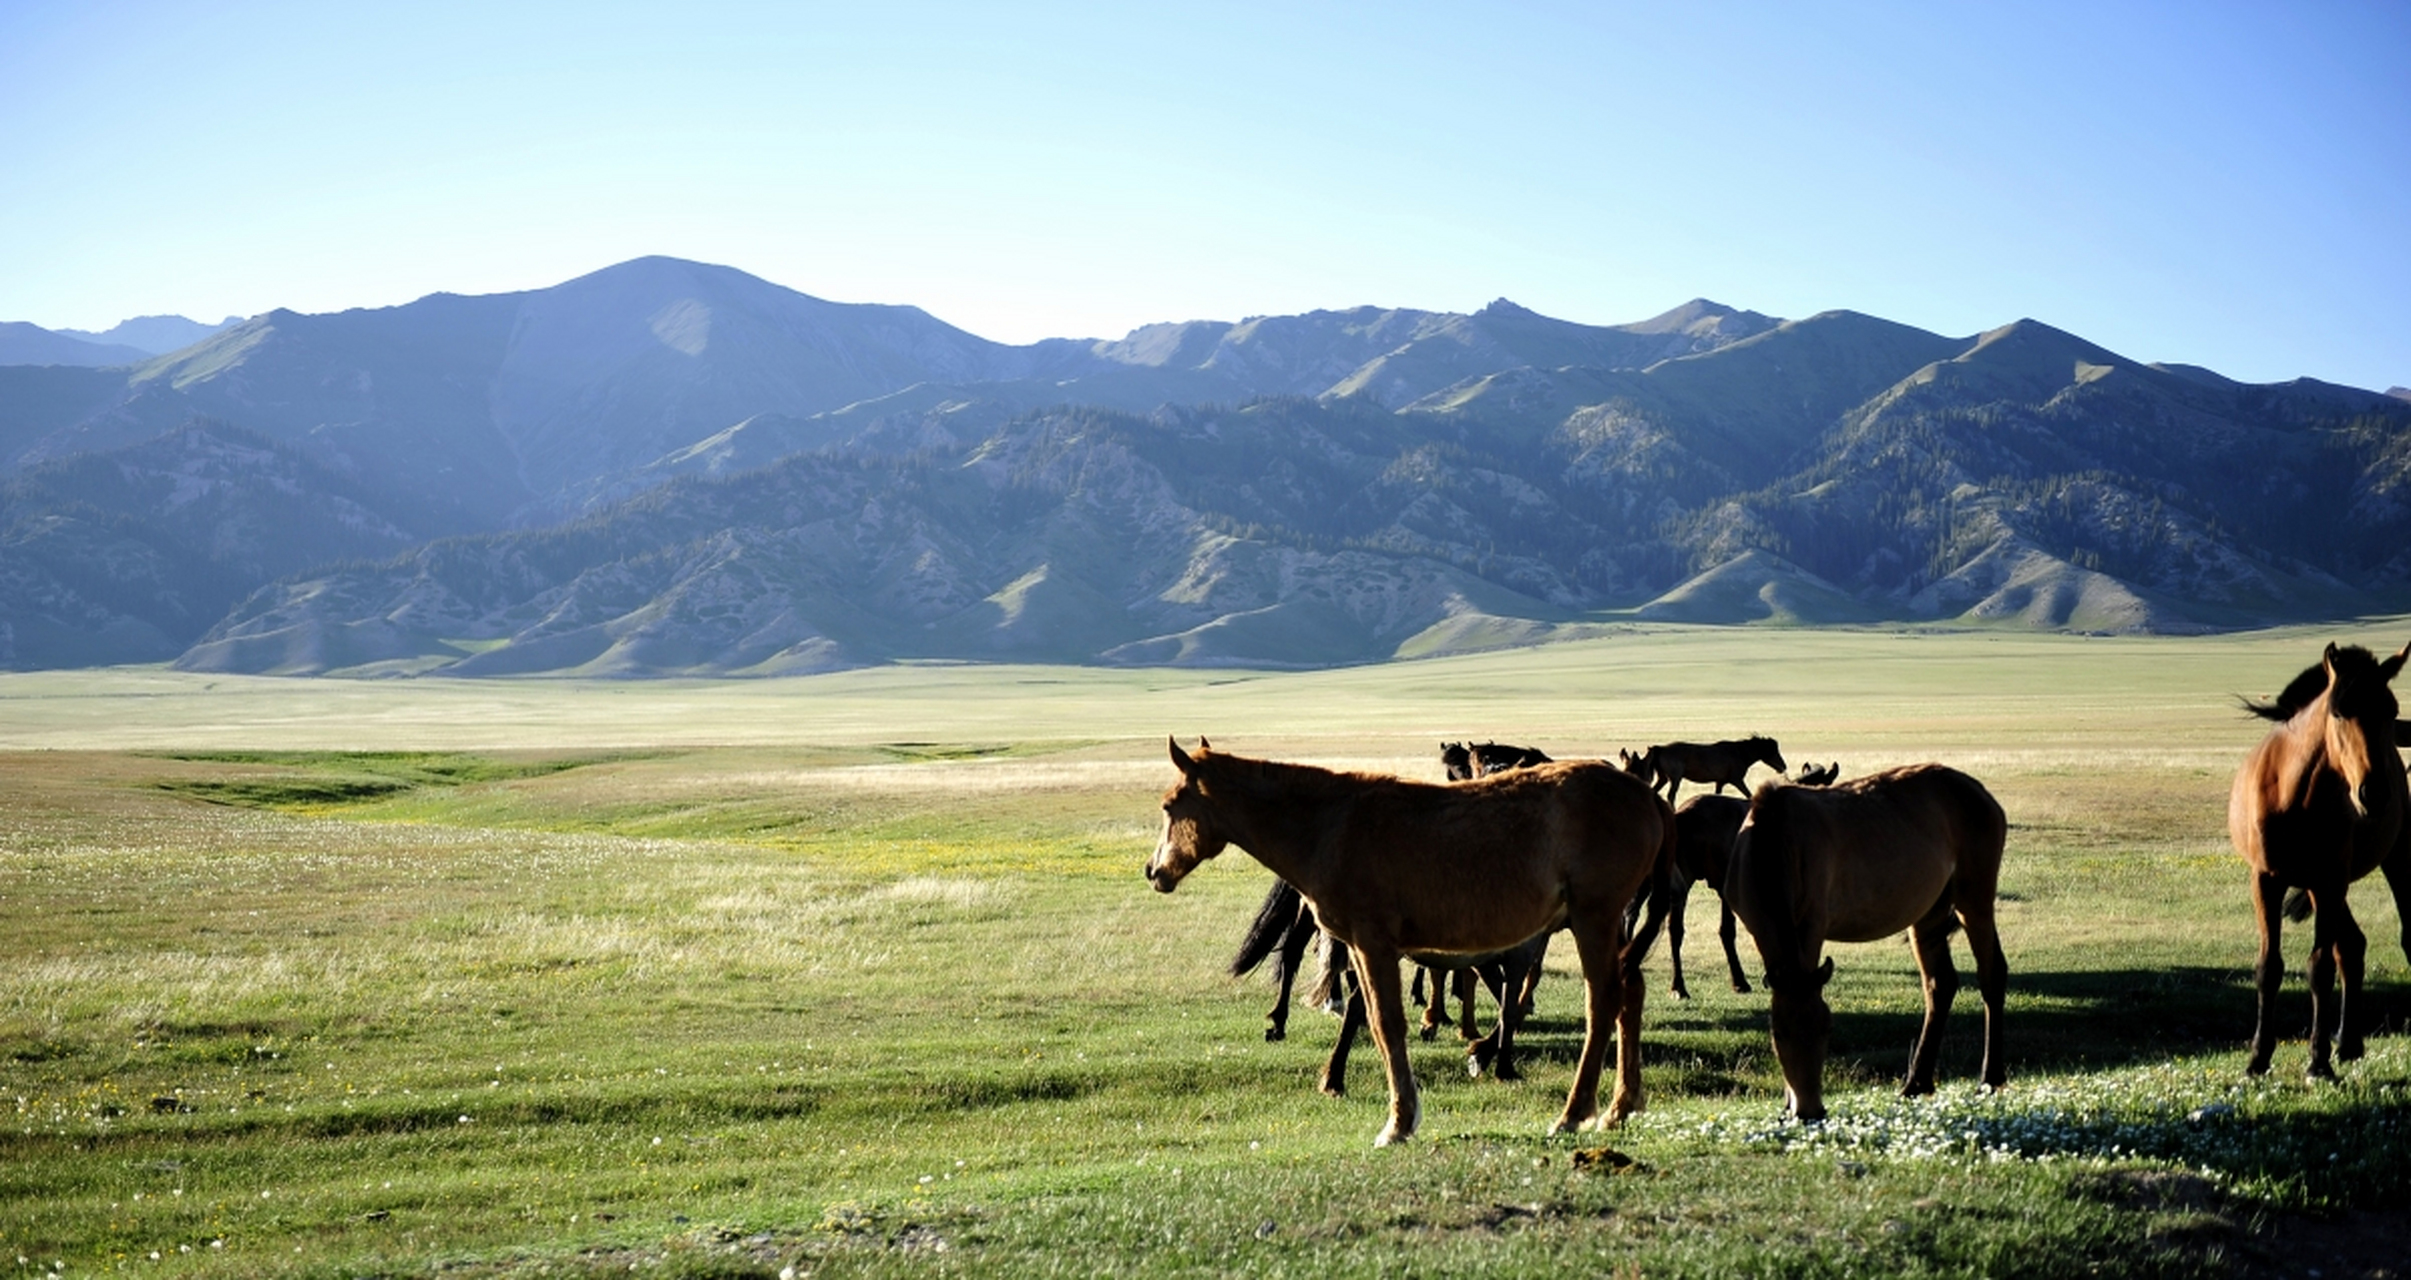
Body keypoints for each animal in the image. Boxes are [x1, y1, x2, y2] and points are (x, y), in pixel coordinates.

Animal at [1147, 737, 1678, 1147]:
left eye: (1169, 806)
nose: (1154, 871)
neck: (1328, 826)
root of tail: (1646, 796)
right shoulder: (1362, 949)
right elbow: (1373, 1021)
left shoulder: (1374, 946)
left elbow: (1386, 1025)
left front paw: (1399, 1123)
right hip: (1607, 924)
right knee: (1630, 993)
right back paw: (1619, 1108)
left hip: (1594, 918)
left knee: (1604, 1001)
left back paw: (1573, 1114)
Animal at [1649, 737, 1784, 805]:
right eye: (1774, 752)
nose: (1783, 766)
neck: (1739, 753)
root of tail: (1662, 748)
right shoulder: (1737, 780)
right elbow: (1749, 795)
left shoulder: (1720, 782)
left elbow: (1718, 794)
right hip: (1675, 779)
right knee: (1671, 795)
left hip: (1663, 778)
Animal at [1726, 761, 2005, 1123]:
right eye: (1779, 1034)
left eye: (1827, 1029)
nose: (1810, 1111)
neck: (1772, 843)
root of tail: (1981, 793)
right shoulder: (1757, 928)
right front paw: (1787, 1105)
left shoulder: (1812, 925)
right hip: (1929, 912)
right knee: (1940, 984)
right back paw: (1915, 1084)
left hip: (1974, 899)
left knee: (1991, 974)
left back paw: (1989, 1079)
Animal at [2218, 641, 2411, 1079]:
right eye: (2339, 712)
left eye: (2390, 710)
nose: (2374, 794)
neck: (2295, 794)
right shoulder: (2267, 879)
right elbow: (2269, 968)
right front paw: (2259, 1058)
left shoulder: (2329, 880)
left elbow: (2320, 968)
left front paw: (2317, 1062)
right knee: (2352, 945)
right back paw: (2349, 1042)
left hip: (2383, 864)